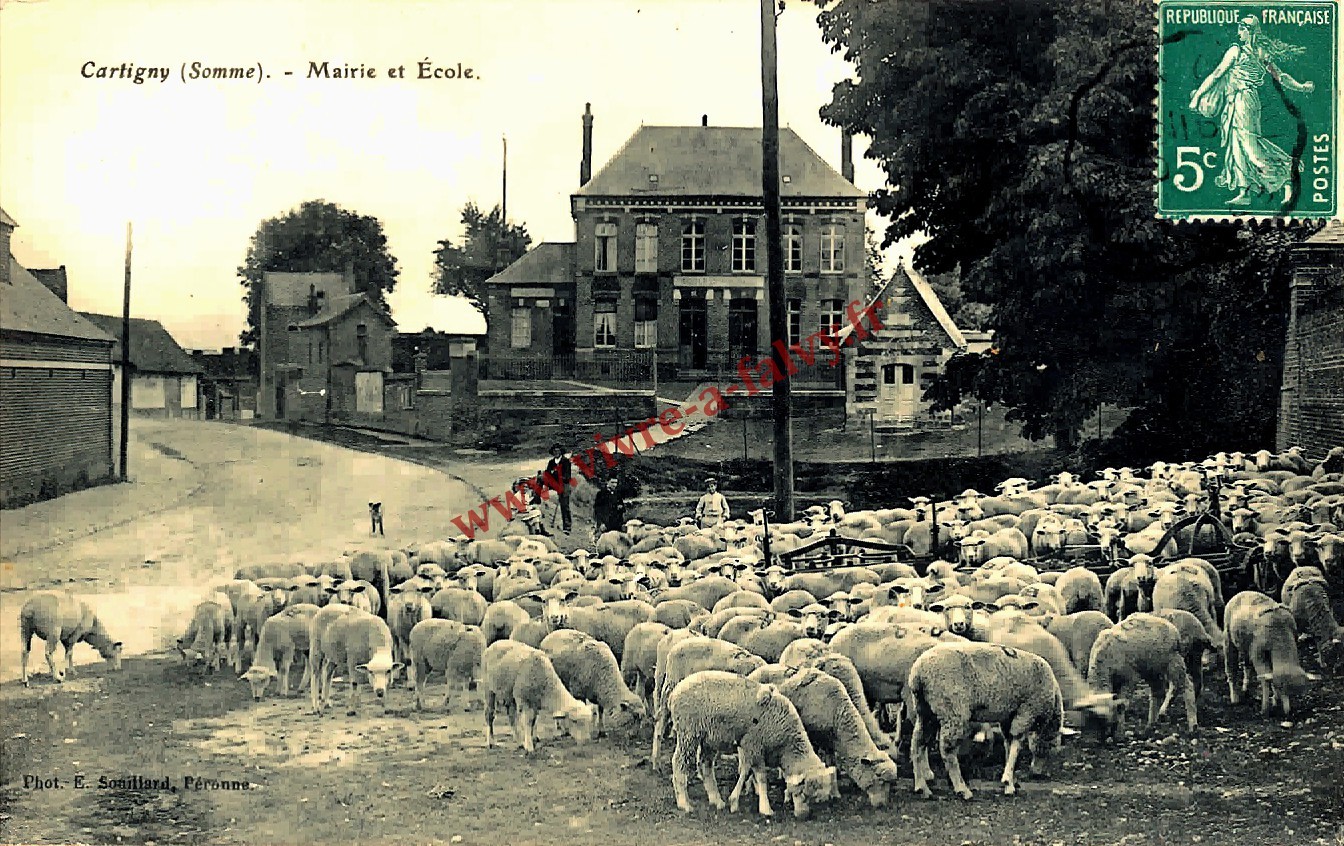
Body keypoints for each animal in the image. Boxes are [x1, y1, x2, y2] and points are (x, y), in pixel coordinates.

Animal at [666, 669, 833, 812]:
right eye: (803, 793)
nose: (803, 816)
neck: (786, 744)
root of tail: (675, 692)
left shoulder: (751, 747)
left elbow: (747, 771)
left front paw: (736, 800)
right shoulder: (754, 744)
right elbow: (761, 777)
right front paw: (765, 808)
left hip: (709, 738)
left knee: (705, 765)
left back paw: (717, 800)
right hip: (689, 732)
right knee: (679, 763)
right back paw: (684, 803)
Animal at [908, 640, 1064, 796]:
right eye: (1051, 747)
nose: (1038, 774)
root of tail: (918, 674)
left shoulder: (1009, 716)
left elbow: (1008, 744)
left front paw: (1010, 781)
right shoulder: (1026, 711)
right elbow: (1016, 744)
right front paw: (1007, 780)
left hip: (926, 710)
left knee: (917, 744)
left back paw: (921, 786)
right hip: (952, 709)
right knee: (947, 750)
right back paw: (962, 789)